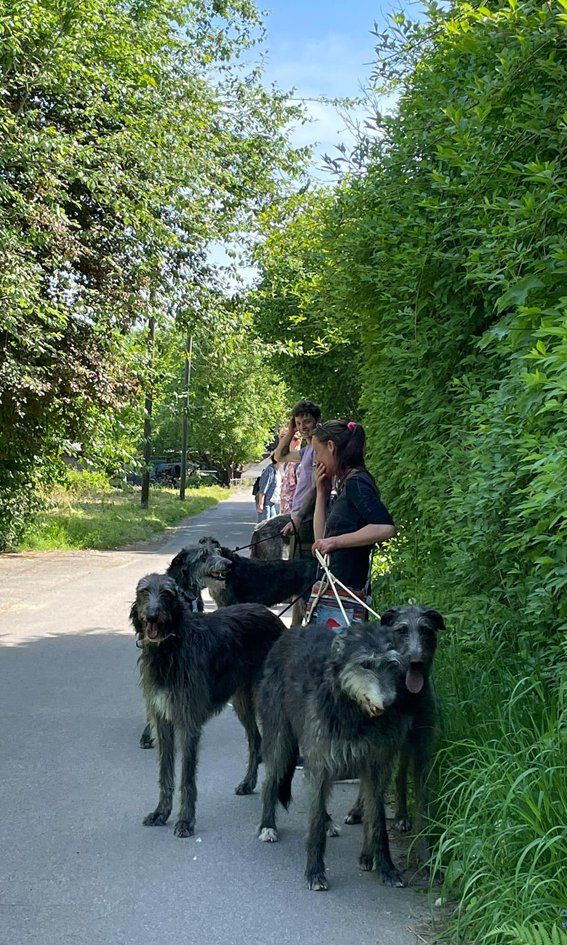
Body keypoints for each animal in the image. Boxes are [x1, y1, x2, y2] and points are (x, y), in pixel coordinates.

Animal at [131, 573, 284, 837]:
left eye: (166, 594)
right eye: (144, 592)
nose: (151, 616)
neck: (170, 649)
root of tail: (274, 618)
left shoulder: (188, 722)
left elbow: (187, 778)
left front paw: (185, 821)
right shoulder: (162, 721)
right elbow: (165, 771)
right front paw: (161, 812)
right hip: (241, 699)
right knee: (255, 739)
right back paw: (248, 783)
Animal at [256, 621, 411, 890]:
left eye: (392, 664)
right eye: (365, 664)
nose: (390, 702)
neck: (353, 712)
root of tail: (291, 632)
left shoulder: (375, 767)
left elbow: (377, 820)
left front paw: (387, 869)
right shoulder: (320, 761)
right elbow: (314, 823)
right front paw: (315, 871)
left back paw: (328, 821)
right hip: (279, 737)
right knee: (271, 779)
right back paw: (267, 825)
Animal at [344, 605, 443, 863]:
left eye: (426, 630)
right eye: (402, 630)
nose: (416, 662)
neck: (408, 697)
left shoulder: (422, 749)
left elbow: (422, 803)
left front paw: (425, 853)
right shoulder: (380, 747)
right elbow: (374, 799)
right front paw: (369, 851)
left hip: (406, 745)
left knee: (398, 776)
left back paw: (400, 815)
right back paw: (357, 810)